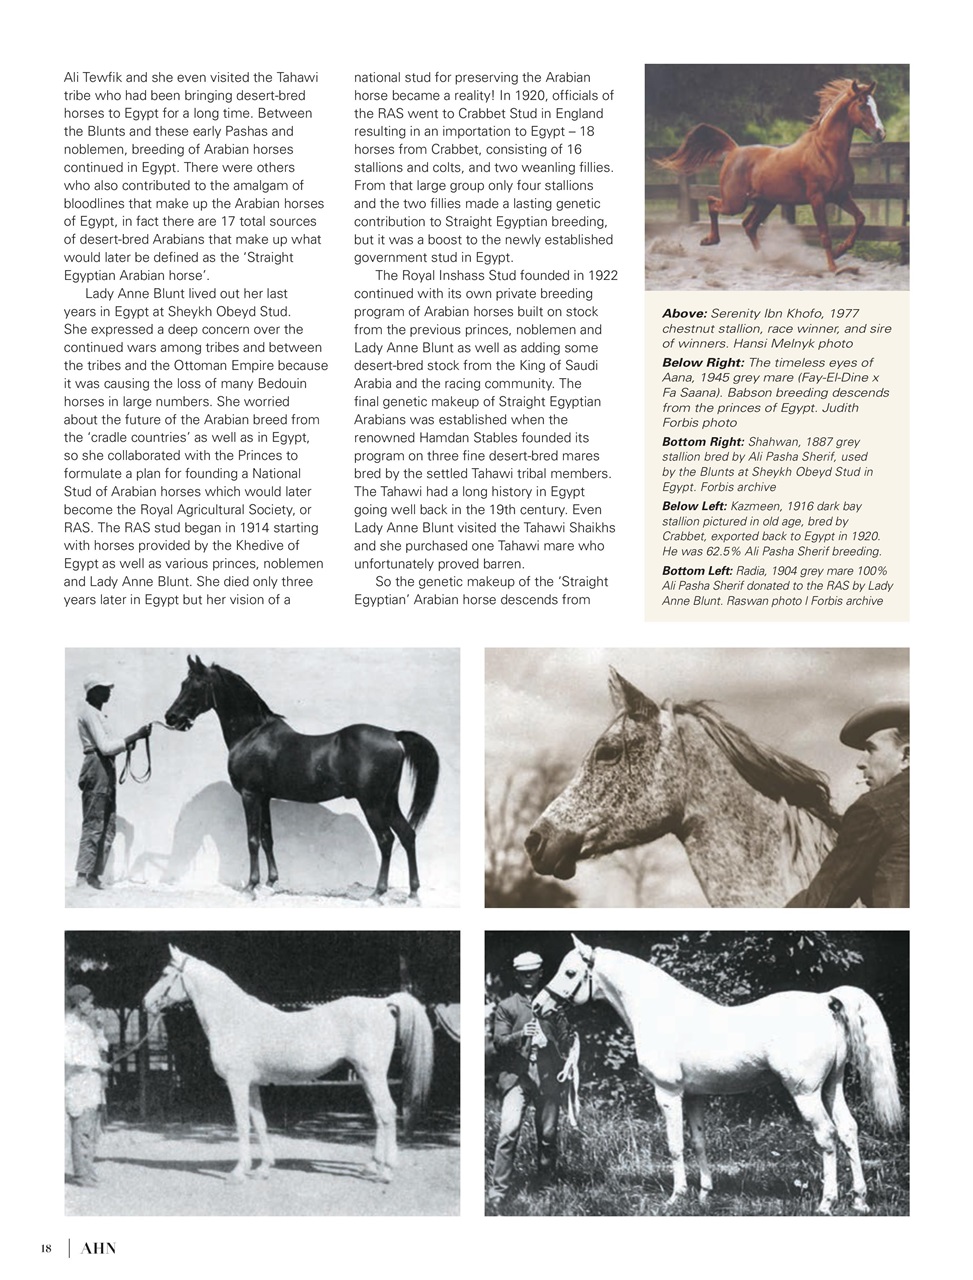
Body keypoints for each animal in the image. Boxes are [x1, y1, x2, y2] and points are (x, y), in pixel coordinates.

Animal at [143, 945, 434, 1183]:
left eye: (165, 973)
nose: (146, 1002)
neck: (233, 1018)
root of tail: (383, 1003)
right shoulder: (251, 1084)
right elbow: (259, 1121)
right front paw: (262, 1168)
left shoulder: (237, 1083)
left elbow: (242, 1124)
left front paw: (238, 1172)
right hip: (366, 1076)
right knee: (378, 1114)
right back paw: (372, 1166)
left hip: (371, 1073)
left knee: (387, 1112)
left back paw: (386, 1171)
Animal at [164, 656, 439, 898]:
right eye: (182, 683)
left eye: (196, 686)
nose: (171, 717)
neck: (252, 733)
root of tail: (393, 735)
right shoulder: (264, 798)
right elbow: (267, 838)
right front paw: (270, 883)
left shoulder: (250, 795)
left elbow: (252, 839)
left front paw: (251, 886)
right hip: (388, 802)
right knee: (407, 835)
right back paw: (413, 893)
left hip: (372, 803)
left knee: (386, 840)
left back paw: (377, 894)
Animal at [534, 936, 902, 1214]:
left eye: (570, 972)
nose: (538, 1006)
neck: (661, 1012)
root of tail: (825, 1000)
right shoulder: (694, 1095)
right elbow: (698, 1142)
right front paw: (704, 1195)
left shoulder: (668, 1094)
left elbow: (675, 1146)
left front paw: (676, 1197)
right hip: (831, 1087)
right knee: (849, 1130)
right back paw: (859, 1201)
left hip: (806, 1093)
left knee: (826, 1136)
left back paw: (826, 1203)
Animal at [656, 79, 886, 272]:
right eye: (863, 105)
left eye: (875, 105)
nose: (880, 134)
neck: (825, 152)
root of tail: (734, 150)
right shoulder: (817, 199)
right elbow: (825, 234)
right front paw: (833, 267)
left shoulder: (841, 196)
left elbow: (860, 218)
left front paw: (840, 251)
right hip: (735, 203)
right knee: (713, 202)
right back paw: (710, 240)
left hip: (766, 202)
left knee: (748, 225)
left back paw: (764, 259)